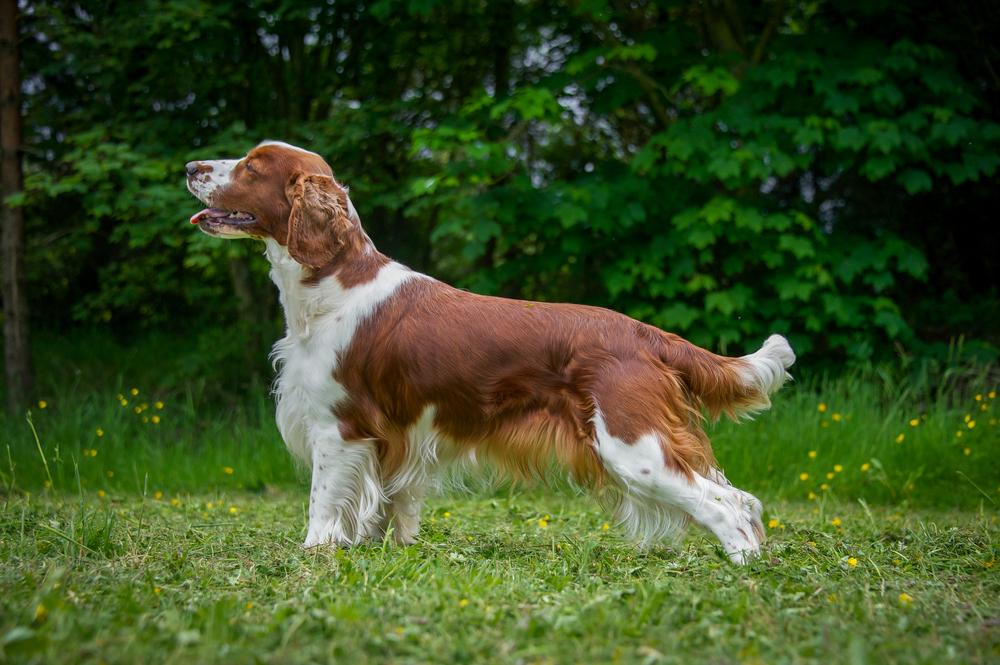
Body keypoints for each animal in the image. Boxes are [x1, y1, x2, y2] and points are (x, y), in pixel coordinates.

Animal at [188, 143, 792, 564]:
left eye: (252, 167)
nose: (192, 166)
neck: (331, 284)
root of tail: (646, 335)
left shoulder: (338, 428)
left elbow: (322, 505)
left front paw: (314, 556)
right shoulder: (388, 440)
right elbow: (382, 505)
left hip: (632, 445)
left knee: (722, 505)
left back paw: (743, 566)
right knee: (738, 497)